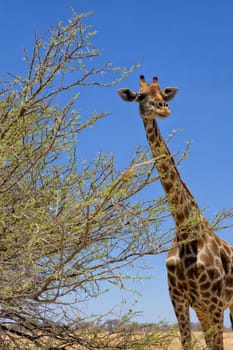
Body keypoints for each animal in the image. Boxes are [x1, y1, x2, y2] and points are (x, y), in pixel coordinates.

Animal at [117, 75, 233, 348]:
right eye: (140, 95)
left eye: (163, 93)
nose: (163, 108)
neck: (185, 227)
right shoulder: (180, 301)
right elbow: (187, 343)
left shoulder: (214, 301)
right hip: (205, 309)